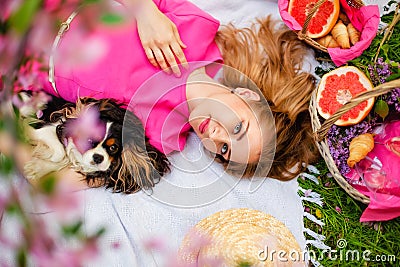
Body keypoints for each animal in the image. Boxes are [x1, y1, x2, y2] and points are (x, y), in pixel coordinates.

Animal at [25, 97, 169, 194]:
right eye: (89, 139)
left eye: (113, 148)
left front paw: (36, 168)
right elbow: (59, 150)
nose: (98, 157)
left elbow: (63, 159)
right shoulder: (53, 129)